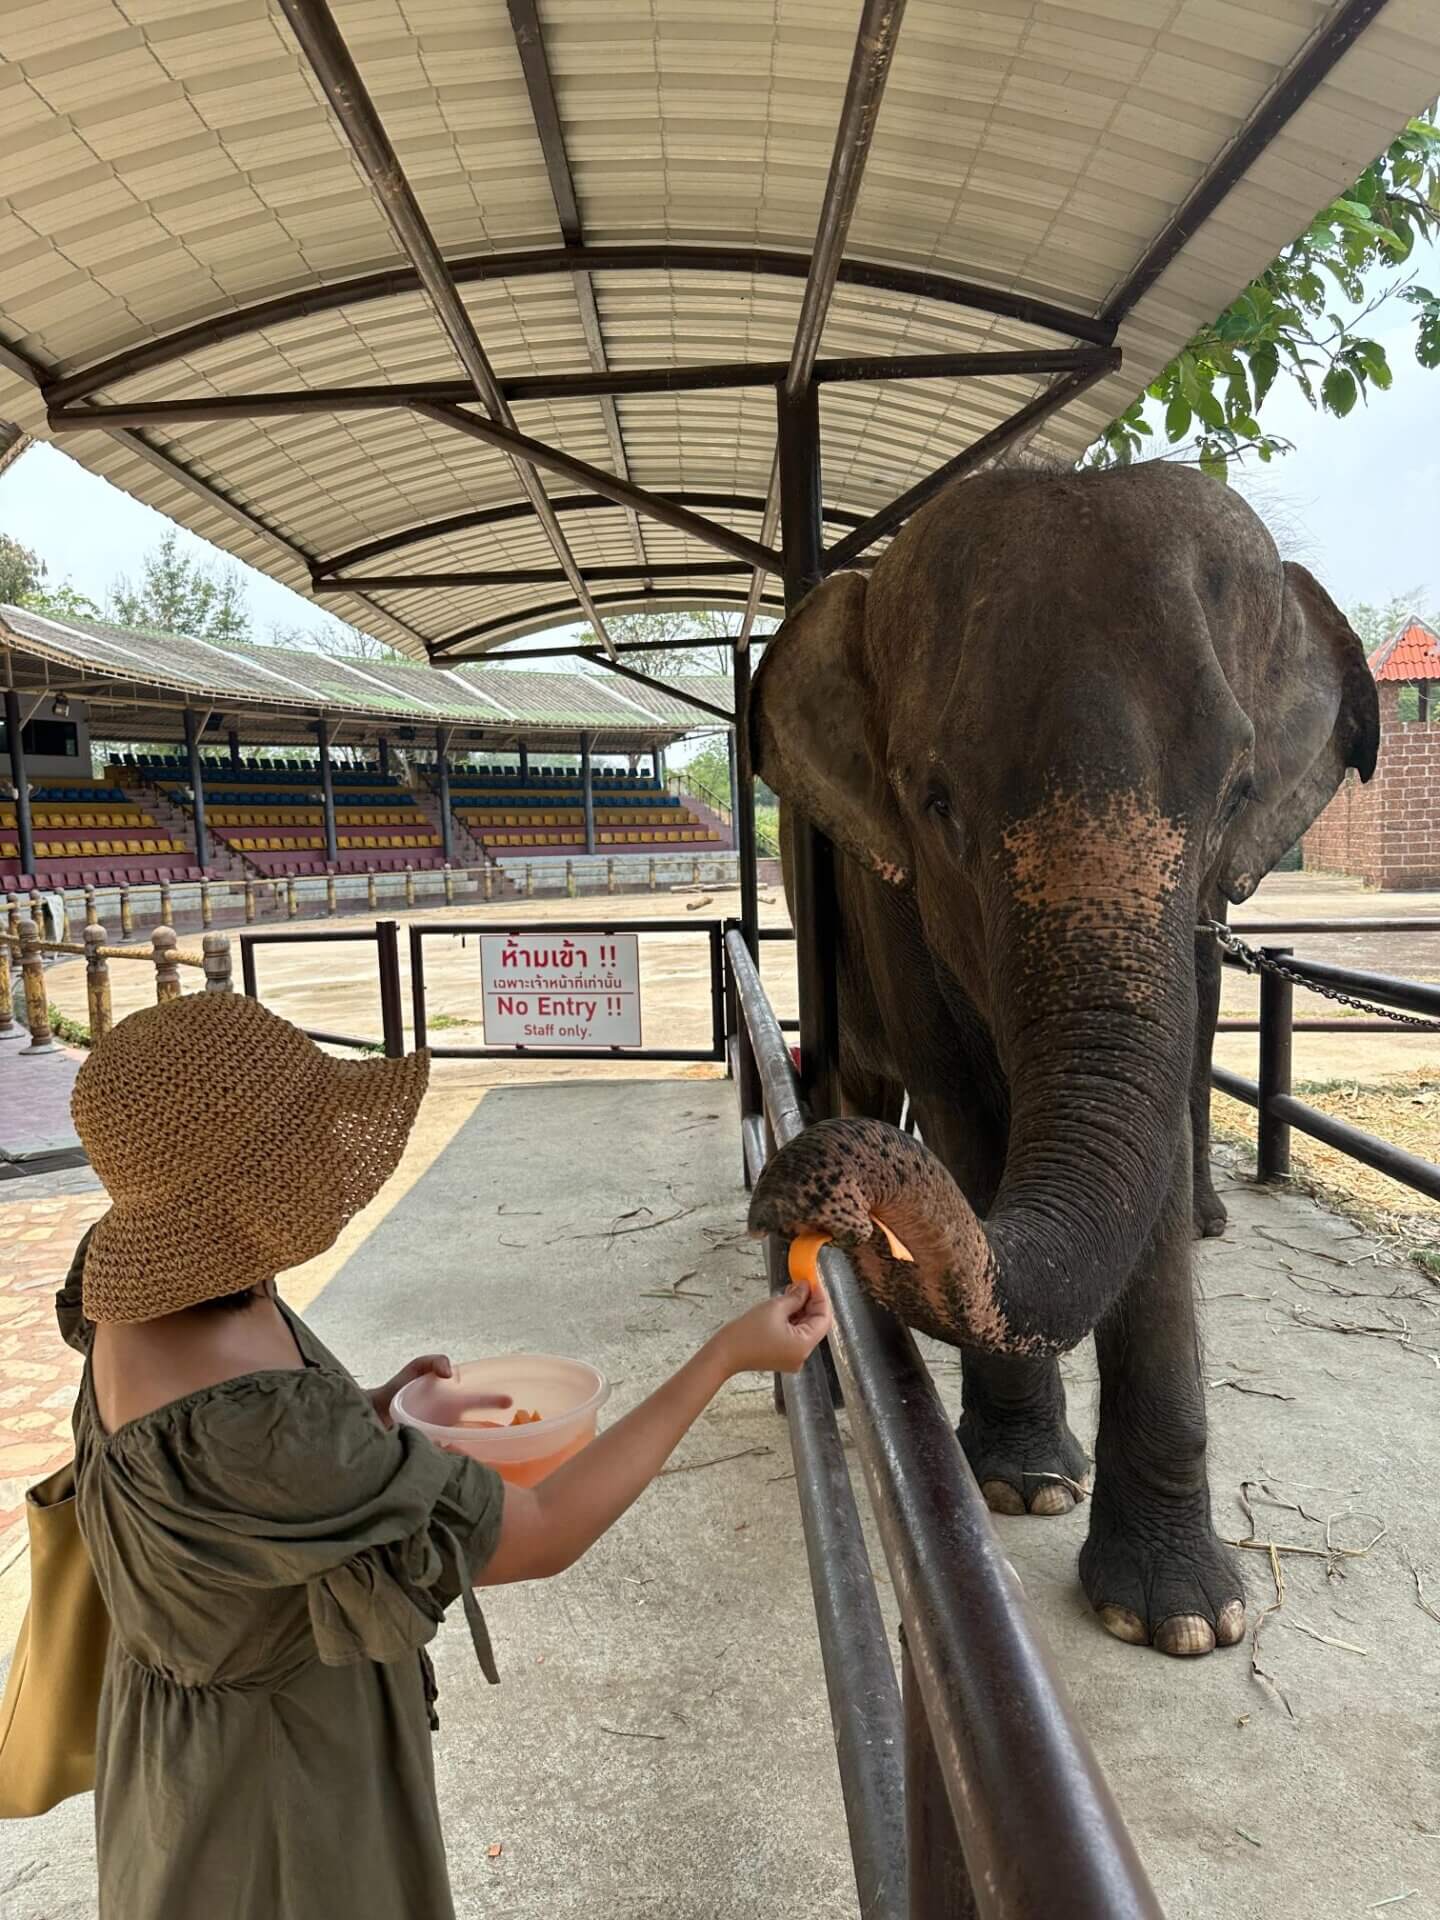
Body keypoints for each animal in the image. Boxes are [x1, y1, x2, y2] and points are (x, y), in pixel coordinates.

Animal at [748, 456, 1382, 1658]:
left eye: (1235, 793)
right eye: (937, 802)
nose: (819, 1203)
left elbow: (1160, 1143)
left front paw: (1182, 1617)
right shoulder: (891, 898)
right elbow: (961, 1106)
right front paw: (1025, 1484)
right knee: (888, 1087)